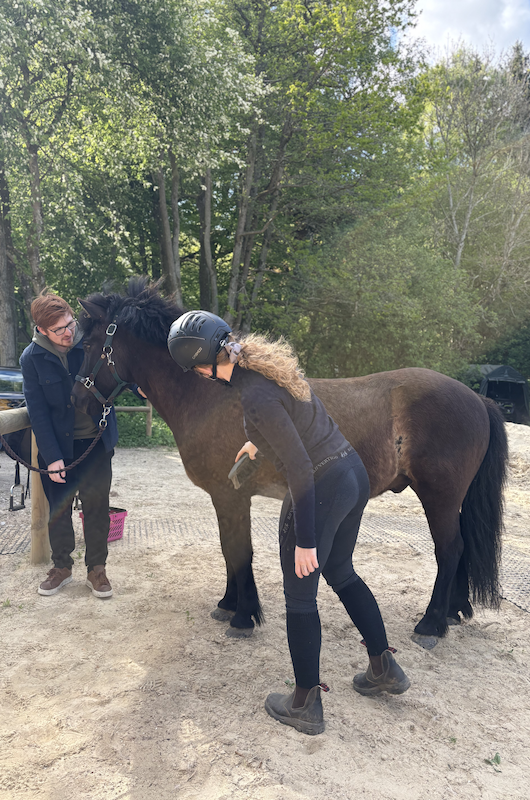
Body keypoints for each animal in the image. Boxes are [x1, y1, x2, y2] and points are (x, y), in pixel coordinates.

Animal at [71, 279, 508, 650]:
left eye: (91, 343)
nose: (79, 402)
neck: (210, 394)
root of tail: (477, 398)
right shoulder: (225, 498)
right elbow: (228, 550)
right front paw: (228, 605)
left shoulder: (232, 497)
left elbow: (239, 552)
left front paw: (244, 617)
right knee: (461, 549)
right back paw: (453, 612)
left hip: (439, 497)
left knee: (450, 549)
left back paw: (431, 624)